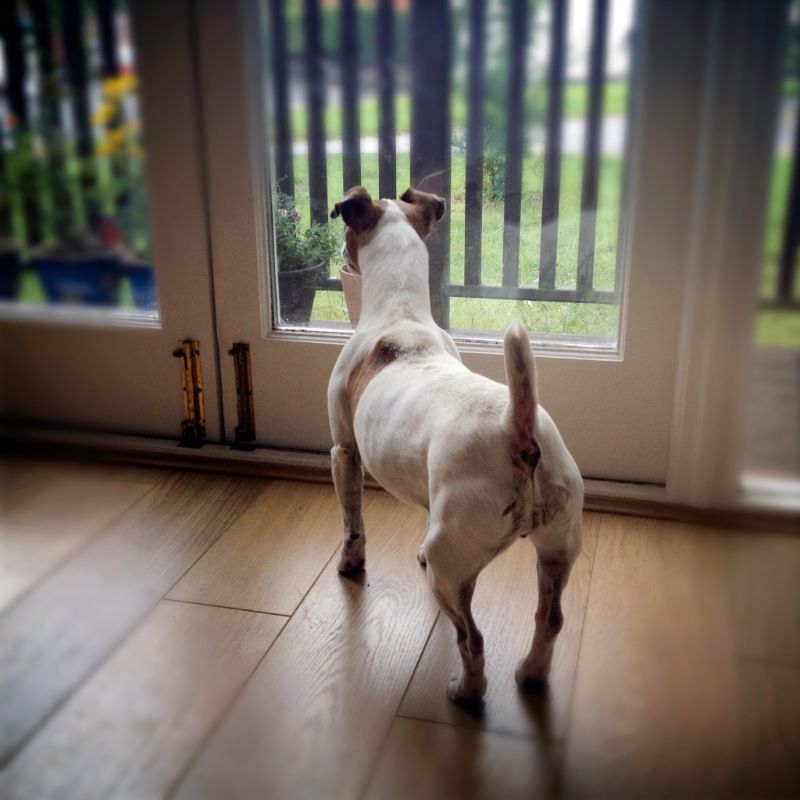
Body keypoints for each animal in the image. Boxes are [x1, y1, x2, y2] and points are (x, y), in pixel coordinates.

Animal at [328, 186, 584, 700]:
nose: (339, 258)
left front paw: (350, 563)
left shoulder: (344, 451)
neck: (401, 312)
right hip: (558, 548)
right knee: (549, 619)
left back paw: (466, 691)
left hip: (452, 568)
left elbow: (352, 522)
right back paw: (530, 674)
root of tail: (518, 433)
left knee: (472, 637)